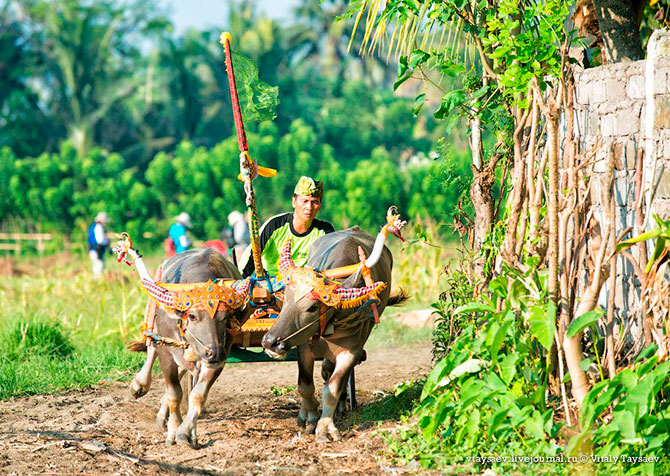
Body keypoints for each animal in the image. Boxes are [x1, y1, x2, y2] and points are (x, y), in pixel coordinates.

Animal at [120, 247, 247, 448]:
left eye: (225, 317)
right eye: (193, 316)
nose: (213, 352)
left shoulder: (218, 360)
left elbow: (197, 395)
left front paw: (186, 433)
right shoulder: (166, 351)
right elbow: (175, 394)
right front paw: (173, 432)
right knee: (151, 350)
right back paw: (139, 385)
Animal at [262, 227, 410, 442]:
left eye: (313, 307)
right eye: (286, 299)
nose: (270, 342)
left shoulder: (351, 352)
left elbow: (332, 389)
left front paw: (325, 428)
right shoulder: (304, 346)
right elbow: (305, 386)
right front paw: (309, 417)